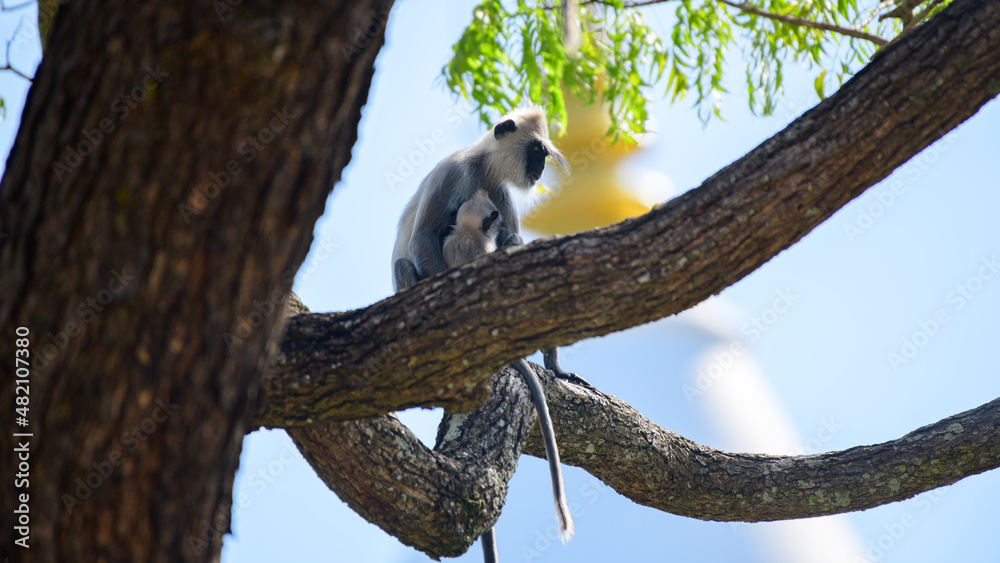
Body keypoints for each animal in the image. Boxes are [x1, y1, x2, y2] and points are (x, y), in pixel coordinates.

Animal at [392, 106, 588, 388]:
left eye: (542, 155)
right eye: (536, 151)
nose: (540, 168)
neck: (483, 169)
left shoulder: (499, 191)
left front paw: (556, 368)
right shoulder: (452, 171)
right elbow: (422, 239)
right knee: (403, 265)